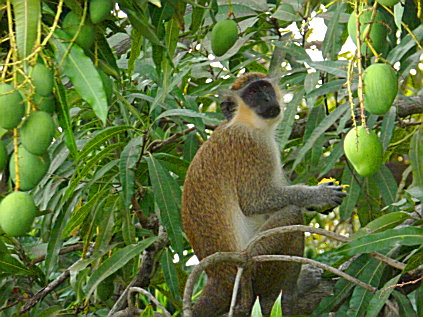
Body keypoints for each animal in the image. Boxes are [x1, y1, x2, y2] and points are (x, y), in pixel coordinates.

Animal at [182, 73, 348, 314]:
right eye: (252, 93)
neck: (245, 122)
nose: (267, 99)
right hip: (253, 265)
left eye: (265, 87)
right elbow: (255, 201)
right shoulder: (250, 146)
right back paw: (290, 294)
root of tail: (219, 279)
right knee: (291, 216)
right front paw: (319, 196)